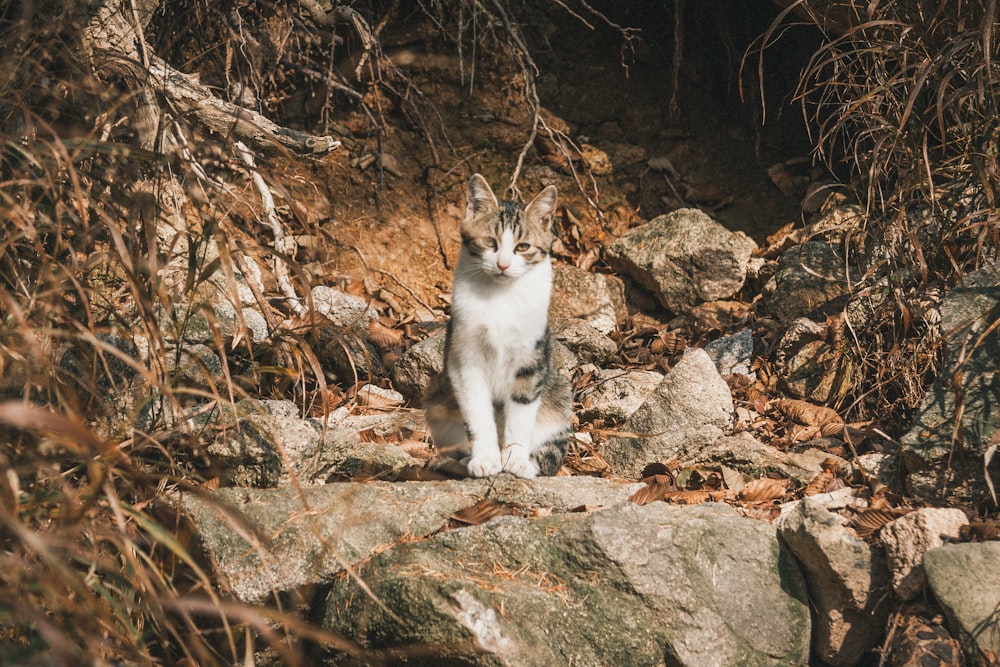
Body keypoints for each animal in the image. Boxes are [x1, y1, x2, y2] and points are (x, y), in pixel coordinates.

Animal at [422, 172, 576, 474]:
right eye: (490, 242)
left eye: (523, 246)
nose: (503, 265)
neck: (500, 297)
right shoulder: (464, 358)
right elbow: (478, 413)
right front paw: (485, 459)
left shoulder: (531, 359)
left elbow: (521, 414)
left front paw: (515, 459)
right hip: (436, 393)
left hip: (559, 395)